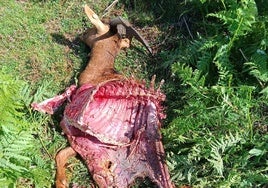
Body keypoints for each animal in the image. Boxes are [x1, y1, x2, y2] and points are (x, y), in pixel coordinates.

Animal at [31, 4, 174, 188]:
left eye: (92, 28)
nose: (81, 34)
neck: (100, 71)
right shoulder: (80, 141)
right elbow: (61, 154)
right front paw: (62, 180)